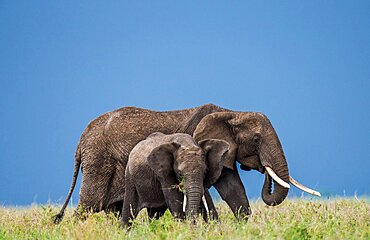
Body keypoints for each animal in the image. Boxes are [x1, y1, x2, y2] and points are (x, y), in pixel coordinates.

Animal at [55, 104, 318, 222]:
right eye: (256, 140)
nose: (263, 167)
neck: (232, 112)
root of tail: (81, 140)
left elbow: (232, 188)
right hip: (99, 160)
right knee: (90, 204)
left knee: (113, 208)